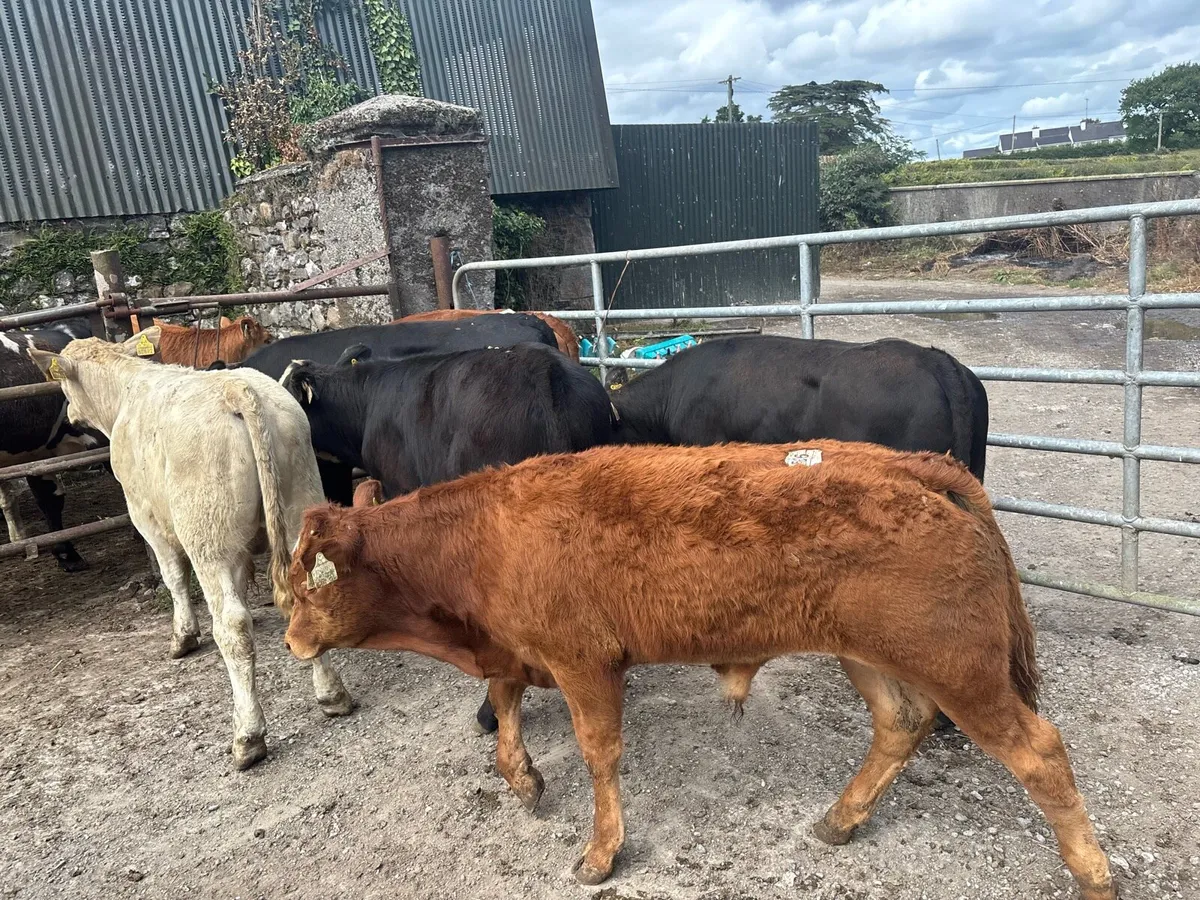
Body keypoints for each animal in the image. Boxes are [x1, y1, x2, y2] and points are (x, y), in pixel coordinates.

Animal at [29, 327, 354, 770]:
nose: (69, 419)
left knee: (231, 625)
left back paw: (248, 736)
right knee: (309, 590)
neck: (127, 390)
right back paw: (332, 694)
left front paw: (183, 637)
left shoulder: (147, 516)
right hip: (297, 506)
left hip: (207, 536)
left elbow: (173, 577)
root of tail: (237, 389)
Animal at [283, 443, 1114, 900]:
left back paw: (1094, 872)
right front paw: (522, 778)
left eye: (306, 584)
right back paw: (840, 819)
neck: (483, 535)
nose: (289, 640)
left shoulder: (584, 662)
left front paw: (601, 853)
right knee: (901, 724)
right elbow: (504, 703)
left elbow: (600, 754)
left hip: (959, 667)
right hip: (873, 657)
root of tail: (917, 467)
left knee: (1040, 753)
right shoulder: (515, 647)